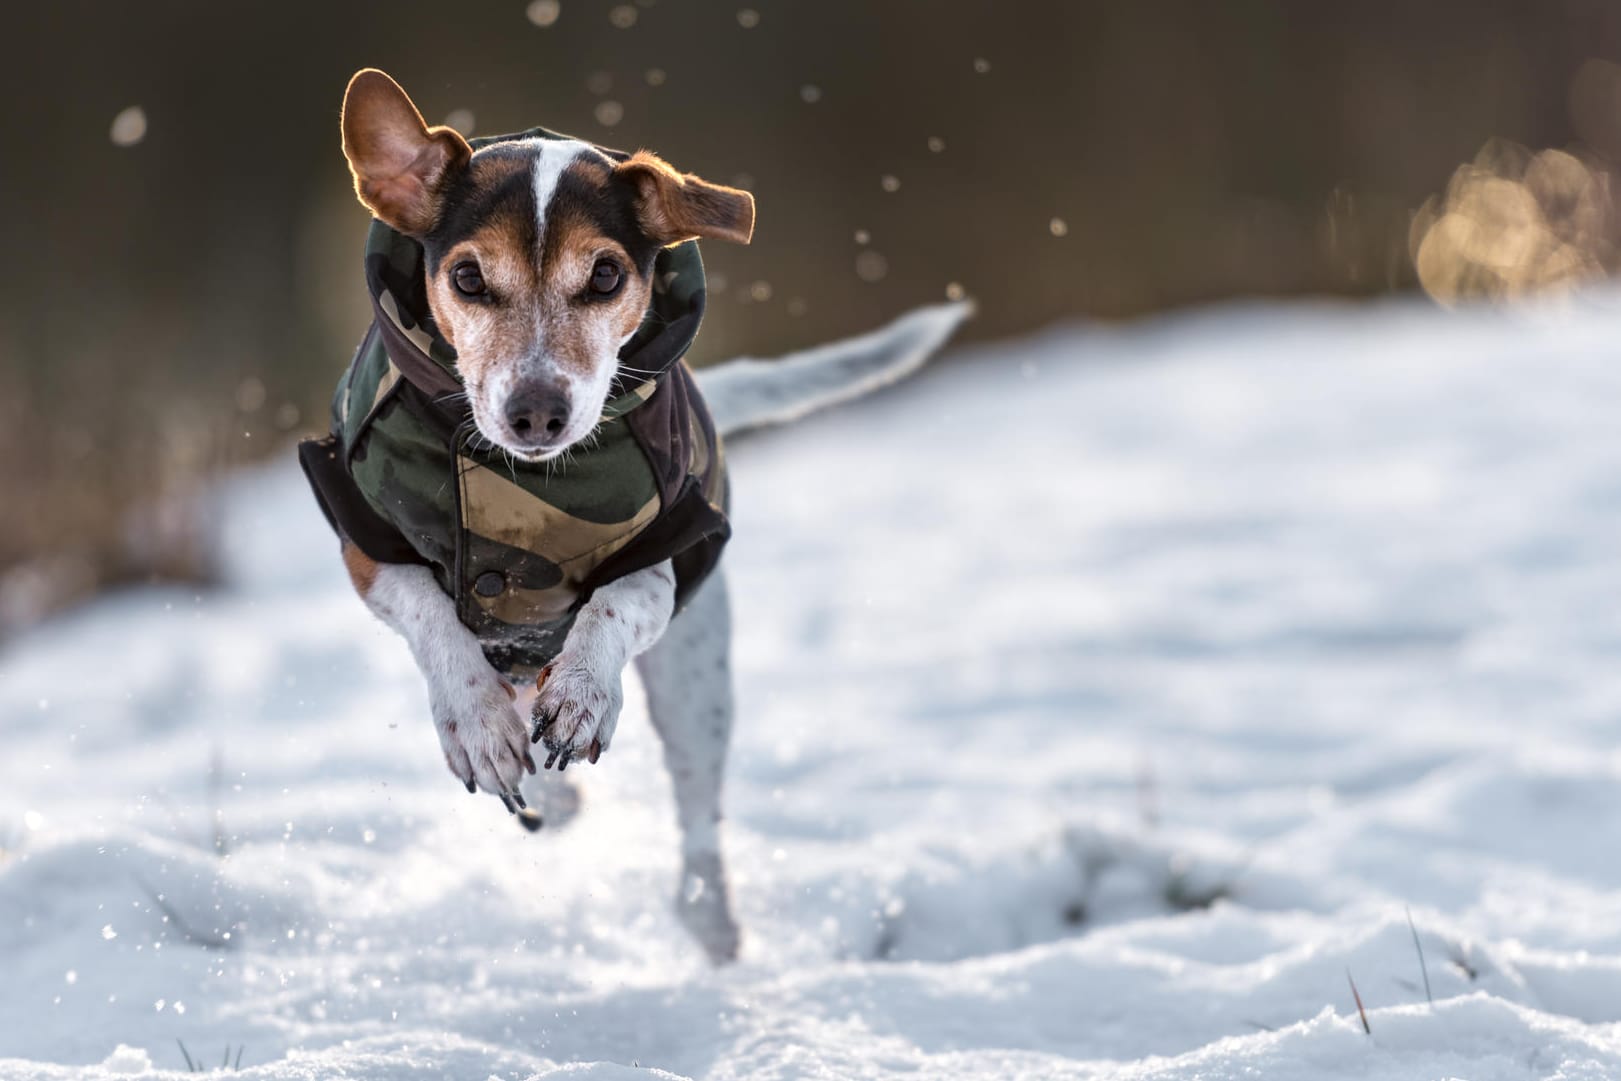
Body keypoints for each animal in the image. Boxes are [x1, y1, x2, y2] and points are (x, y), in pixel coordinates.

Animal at [299, 69, 966, 965]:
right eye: (468, 279)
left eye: (606, 277)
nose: (536, 411)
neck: (518, 478)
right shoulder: (368, 546)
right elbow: (433, 615)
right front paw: (476, 721)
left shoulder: (671, 548)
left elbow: (615, 603)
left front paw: (584, 691)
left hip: (695, 679)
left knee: (696, 818)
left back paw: (710, 923)